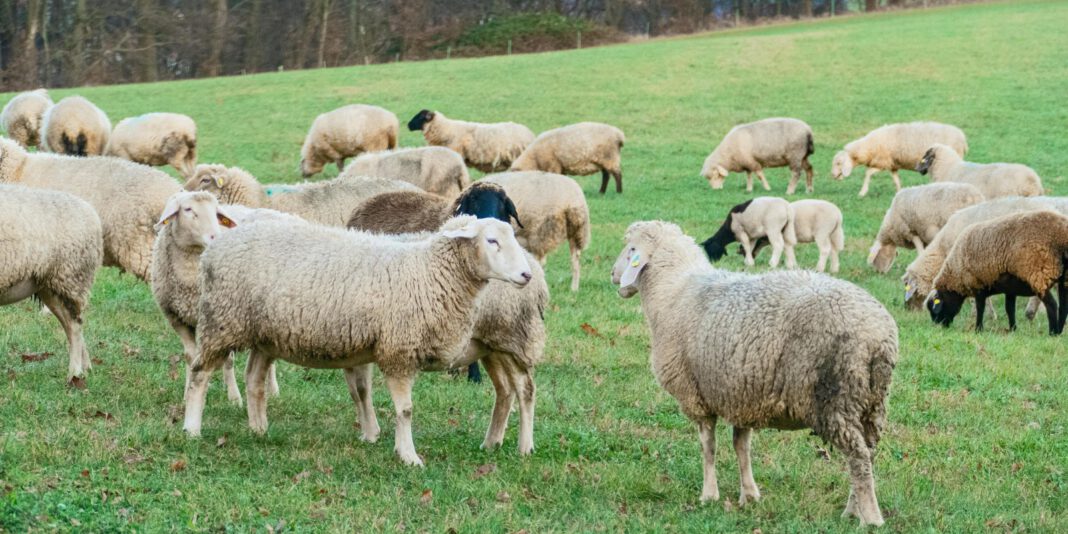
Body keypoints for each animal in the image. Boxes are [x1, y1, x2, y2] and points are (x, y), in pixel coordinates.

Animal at [0, 184, 102, 383]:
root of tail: (91, 211)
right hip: (49, 286)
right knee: (71, 325)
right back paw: (86, 368)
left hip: (71, 278)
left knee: (74, 327)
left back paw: (74, 373)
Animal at [183, 216, 534, 467]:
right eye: (491, 240)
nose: (526, 275)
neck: (428, 272)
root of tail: (215, 247)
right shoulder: (398, 350)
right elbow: (405, 410)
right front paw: (409, 457)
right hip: (222, 320)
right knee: (200, 373)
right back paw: (192, 429)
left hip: (264, 334)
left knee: (254, 378)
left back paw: (259, 430)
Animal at [610, 221, 897, 526]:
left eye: (631, 249)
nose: (613, 274)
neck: (673, 291)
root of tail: (878, 334)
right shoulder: (743, 394)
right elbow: (741, 447)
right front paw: (749, 495)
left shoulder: (696, 397)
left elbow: (708, 446)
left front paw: (709, 495)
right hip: (871, 401)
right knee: (869, 452)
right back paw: (853, 509)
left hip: (835, 397)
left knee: (858, 457)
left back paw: (869, 518)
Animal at [831, 121, 968, 197]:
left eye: (838, 163)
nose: (832, 175)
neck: (868, 147)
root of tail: (962, 137)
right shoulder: (892, 165)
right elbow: (896, 180)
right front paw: (899, 192)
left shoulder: (883, 163)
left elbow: (868, 173)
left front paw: (862, 192)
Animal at [927, 210, 1068, 335]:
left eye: (935, 309)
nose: (940, 326)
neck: (956, 271)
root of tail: (1060, 235)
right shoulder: (1010, 289)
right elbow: (1009, 309)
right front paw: (1012, 329)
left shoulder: (978, 284)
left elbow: (980, 308)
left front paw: (978, 329)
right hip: (1064, 278)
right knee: (1063, 307)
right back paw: (1060, 331)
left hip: (1038, 274)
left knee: (1052, 305)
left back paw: (1053, 332)